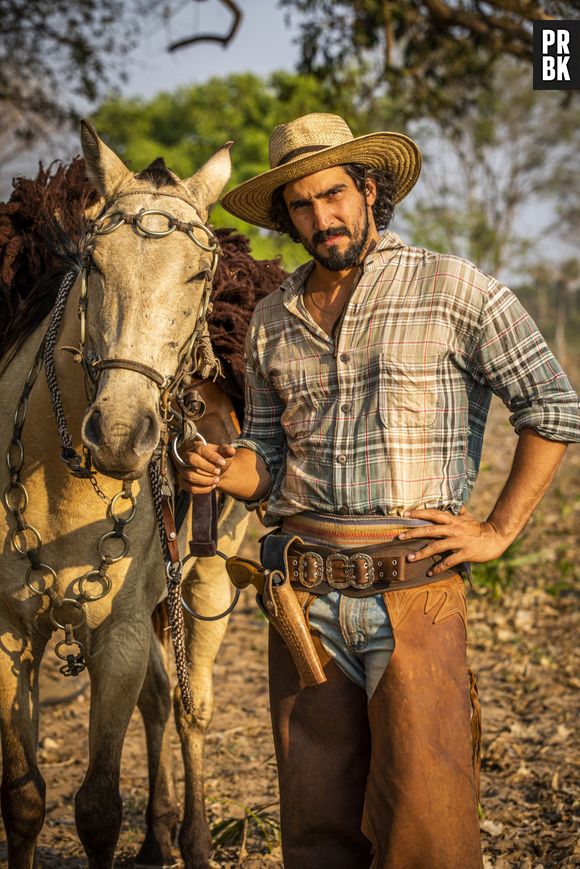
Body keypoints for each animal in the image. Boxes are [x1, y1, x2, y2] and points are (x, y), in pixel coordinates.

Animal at [0, 125, 284, 864]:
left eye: (198, 274)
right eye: (93, 264)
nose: (122, 435)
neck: (66, 484)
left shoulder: (120, 637)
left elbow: (98, 807)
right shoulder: (9, 632)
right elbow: (24, 796)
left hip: (205, 582)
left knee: (188, 707)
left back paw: (192, 838)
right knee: (160, 699)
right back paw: (156, 839)